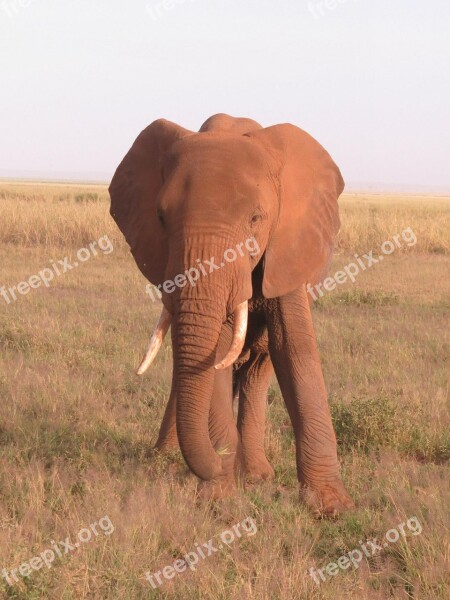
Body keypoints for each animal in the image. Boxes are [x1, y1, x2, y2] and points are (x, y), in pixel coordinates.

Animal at [108, 112, 352, 516]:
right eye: (160, 217)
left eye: (256, 218)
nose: (219, 457)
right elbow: (214, 353)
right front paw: (219, 495)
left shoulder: (286, 249)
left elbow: (296, 348)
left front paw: (331, 507)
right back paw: (166, 458)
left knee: (257, 369)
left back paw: (254, 474)